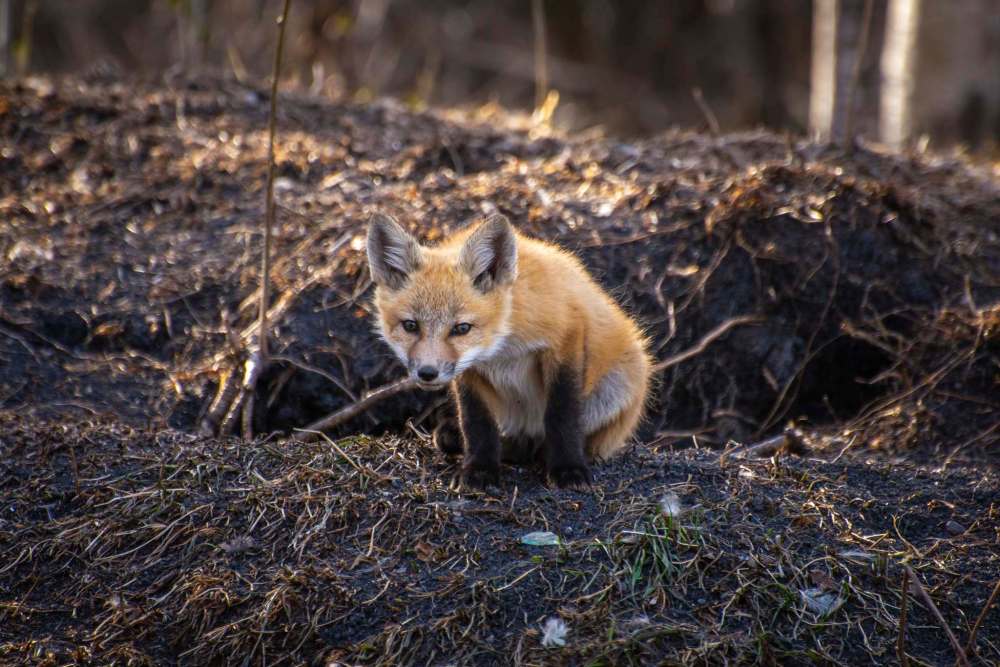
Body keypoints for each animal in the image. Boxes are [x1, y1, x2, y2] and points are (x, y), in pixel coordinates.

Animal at [366, 212, 651, 489]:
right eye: (410, 326)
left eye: (461, 328)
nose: (428, 373)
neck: (502, 343)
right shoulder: (471, 370)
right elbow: (476, 421)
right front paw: (480, 468)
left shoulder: (567, 337)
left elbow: (562, 414)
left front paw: (568, 468)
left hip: (617, 386)